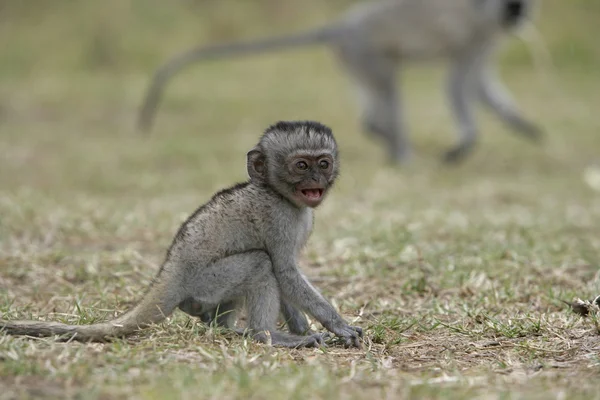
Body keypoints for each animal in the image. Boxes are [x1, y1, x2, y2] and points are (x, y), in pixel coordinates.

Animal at [0, 120, 360, 348]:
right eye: (302, 165)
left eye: (323, 163)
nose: (316, 180)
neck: (277, 194)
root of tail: (171, 269)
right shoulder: (279, 219)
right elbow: (284, 271)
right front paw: (334, 325)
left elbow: (287, 279)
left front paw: (303, 326)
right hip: (207, 281)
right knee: (260, 262)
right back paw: (265, 336)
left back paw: (228, 329)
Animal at [137, 0, 544, 164]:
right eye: (511, 7)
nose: (518, 17)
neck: (482, 11)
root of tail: (342, 27)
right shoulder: (471, 41)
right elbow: (458, 85)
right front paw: (464, 144)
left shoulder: (485, 43)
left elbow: (479, 86)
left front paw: (525, 126)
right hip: (365, 54)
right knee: (389, 87)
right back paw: (402, 153)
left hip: (356, 61)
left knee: (373, 109)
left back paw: (386, 140)